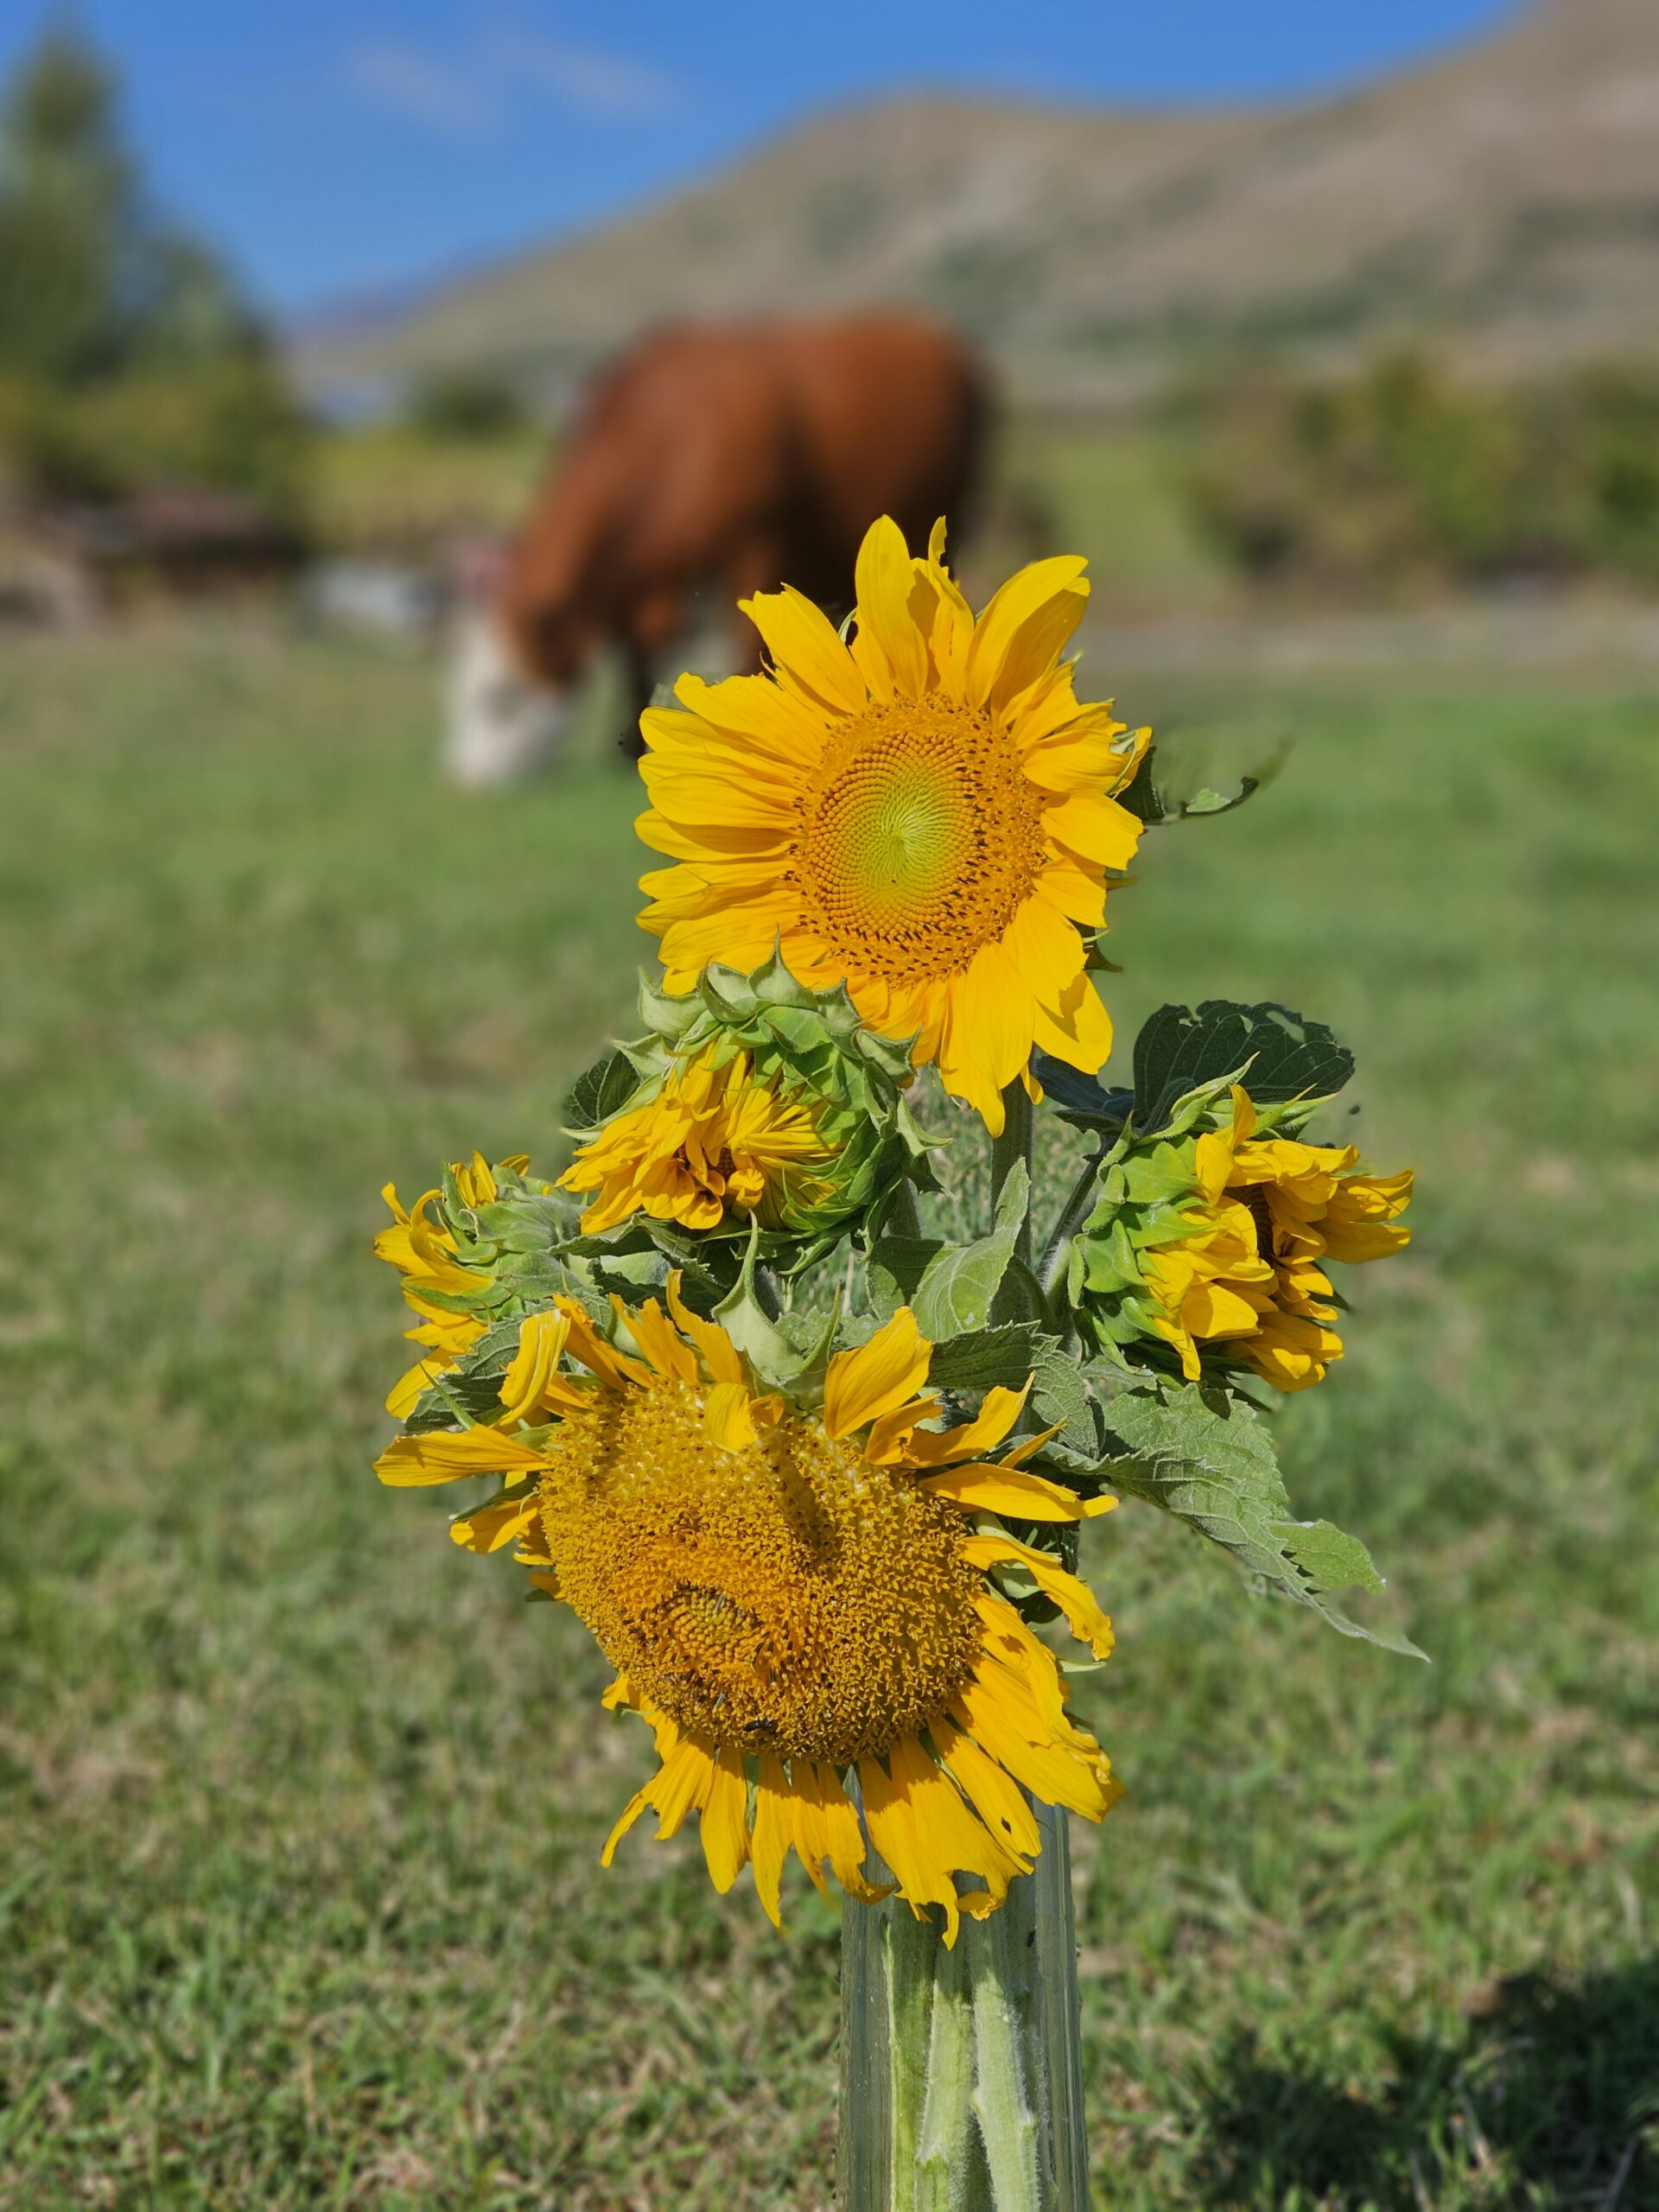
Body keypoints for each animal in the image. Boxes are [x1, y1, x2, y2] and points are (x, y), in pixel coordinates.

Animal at [442, 316, 986, 783]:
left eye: (499, 697)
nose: (463, 780)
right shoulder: (636, 585)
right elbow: (635, 659)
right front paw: (633, 750)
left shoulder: (755, 544)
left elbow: (742, 644)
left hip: (953, 509)